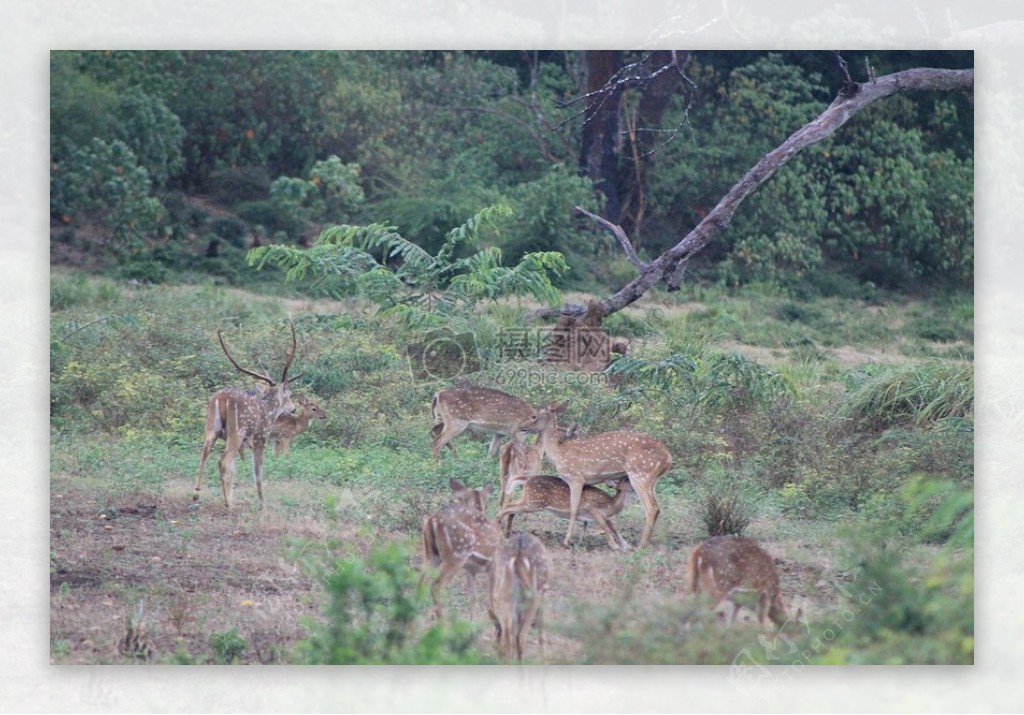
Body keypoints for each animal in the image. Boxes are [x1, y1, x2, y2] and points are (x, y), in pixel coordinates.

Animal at [193, 319, 299, 510]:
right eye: (289, 394)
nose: (293, 409)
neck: (269, 412)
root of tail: (221, 398)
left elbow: (234, 470)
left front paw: (233, 497)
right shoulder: (260, 439)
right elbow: (258, 473)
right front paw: (262, 504)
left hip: (211, 428)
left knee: (205, 453)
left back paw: (197, 494)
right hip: (237, 431)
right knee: (222, 460)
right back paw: (227, 503)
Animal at [419, 475, 503, 614]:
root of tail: (433, 520)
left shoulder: (470, 569)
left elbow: (473, 597)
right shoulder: (494, 564)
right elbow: (493, 598)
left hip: (431, 554)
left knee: (420, 583)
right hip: (455, 555)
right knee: (436, 585)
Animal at [495, 475, 630, 549]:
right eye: (626, 479)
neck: (611, 504)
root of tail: (527, 479)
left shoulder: (603, 516)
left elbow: (613, 528)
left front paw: (626, 545)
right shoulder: (592, 509)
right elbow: (605, 527)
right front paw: (615, 546)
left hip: (529, 500)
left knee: (511, 508)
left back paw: (506, 532)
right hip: (534, 502)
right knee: (508, 506)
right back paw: (497, 526)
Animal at [520, 401, 671, 544]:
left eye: (534, 416)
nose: (522, 428)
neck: (558, 453)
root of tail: (668, 458)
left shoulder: (576, 477)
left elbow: (574, 508)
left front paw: (567, 540)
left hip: (640, 474)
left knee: (652, 508)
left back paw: (641, 545)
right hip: (651, 479)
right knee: (656, 507)